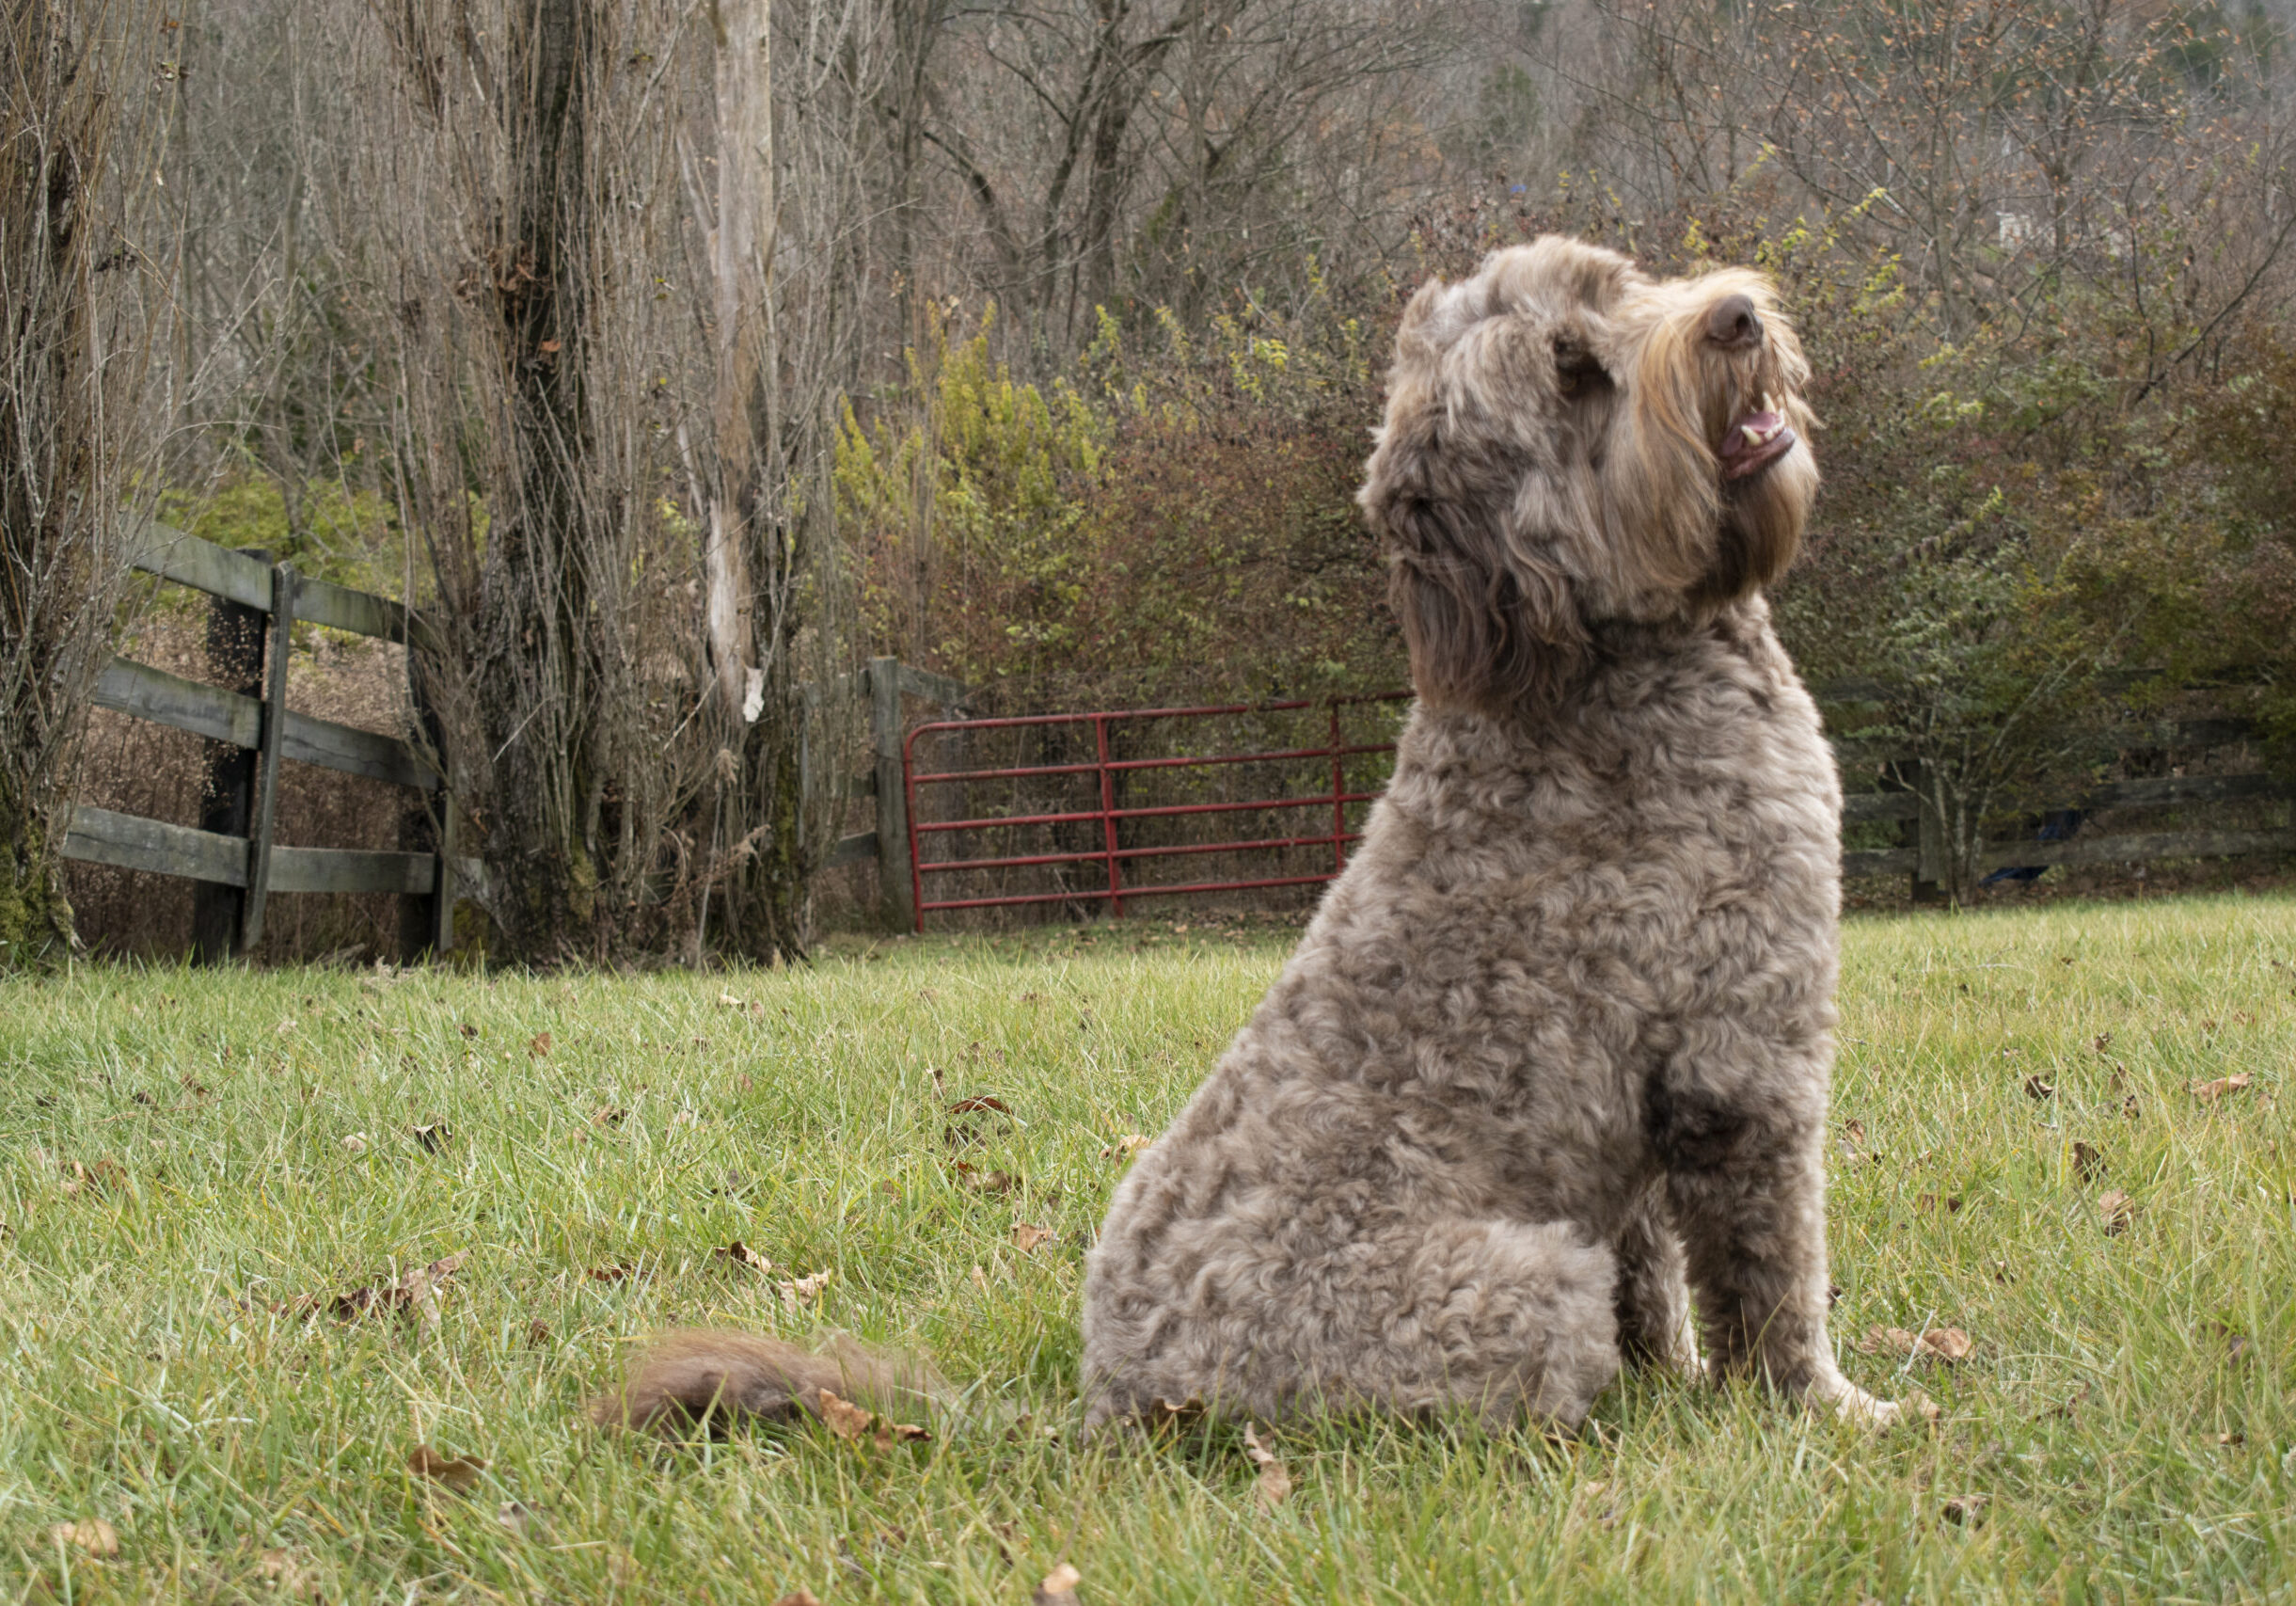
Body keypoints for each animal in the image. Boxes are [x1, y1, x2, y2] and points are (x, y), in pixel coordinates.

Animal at [1084, 235, 1909, 1433]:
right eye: (1572, 373)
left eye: (1619, 286)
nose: (1736, 315)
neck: (1605, 666)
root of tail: (1124, 1396)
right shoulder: (1741, 1049)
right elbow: (1771, 1272)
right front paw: (1820, 1405)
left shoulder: (1627, 1118)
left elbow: (1651, 1265)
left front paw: (1674, 1375)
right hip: (1527, 1287)